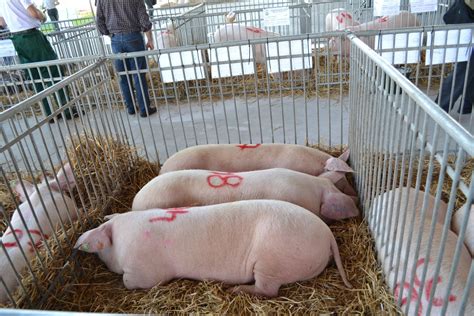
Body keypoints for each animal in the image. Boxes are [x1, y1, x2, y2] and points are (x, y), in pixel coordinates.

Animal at [75, 201, 352, 298]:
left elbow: (129, 282)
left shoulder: (145, 272)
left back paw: (235, 289)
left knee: (268, 290)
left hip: (271, 261)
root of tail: (327, 234)